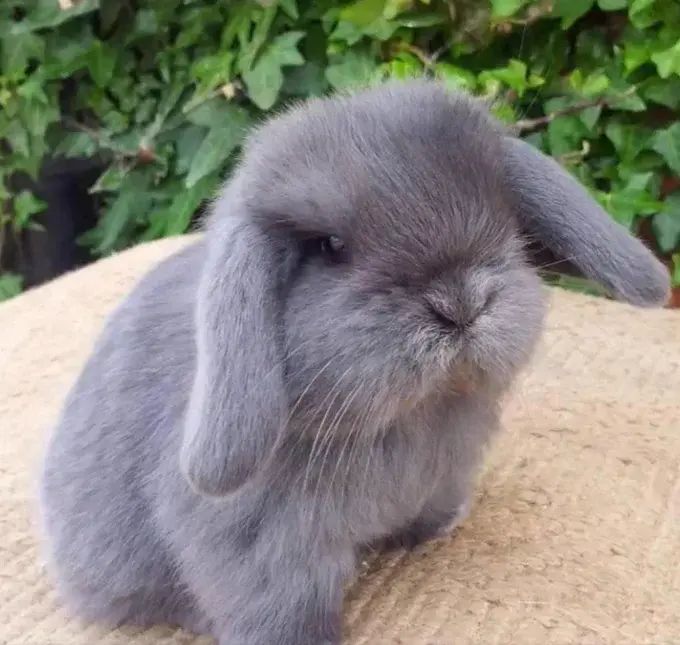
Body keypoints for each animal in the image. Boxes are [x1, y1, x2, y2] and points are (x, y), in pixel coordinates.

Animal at [39, 79, 670, 645]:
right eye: (329, 248)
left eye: (502, 211)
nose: (460, 304)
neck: (408, 420)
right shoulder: (264, 554)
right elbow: (282, 609)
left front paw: (436, 529)